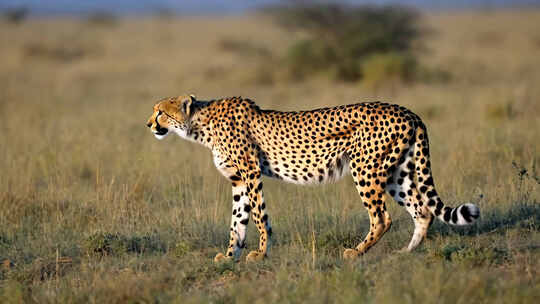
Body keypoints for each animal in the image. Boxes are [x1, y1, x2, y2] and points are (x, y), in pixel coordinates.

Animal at [146, 94, 478, 262]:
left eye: (161, 112)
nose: (149, 124)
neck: (200, 124)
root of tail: (408, 111)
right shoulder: (238, 180)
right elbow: (237, 220)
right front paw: (230, 256)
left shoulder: (251, 173)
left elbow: (259, 216)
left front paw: (260, 253)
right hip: (398, 172)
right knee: (422, 211)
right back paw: (406, 252)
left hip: (364, 168)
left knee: (382, 217)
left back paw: (356, 252)